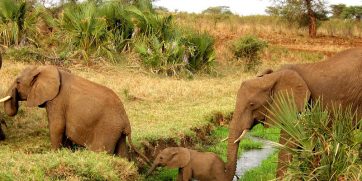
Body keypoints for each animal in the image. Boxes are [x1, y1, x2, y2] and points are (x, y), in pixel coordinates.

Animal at [0, 65, 150, 164]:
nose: (14, 94)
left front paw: (54, 153)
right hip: (116, 131)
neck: (45, 69)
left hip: (107, 129)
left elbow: (57, 126)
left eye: (18, 82)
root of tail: (126, 122)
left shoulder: (57, 100)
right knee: (122, 152)